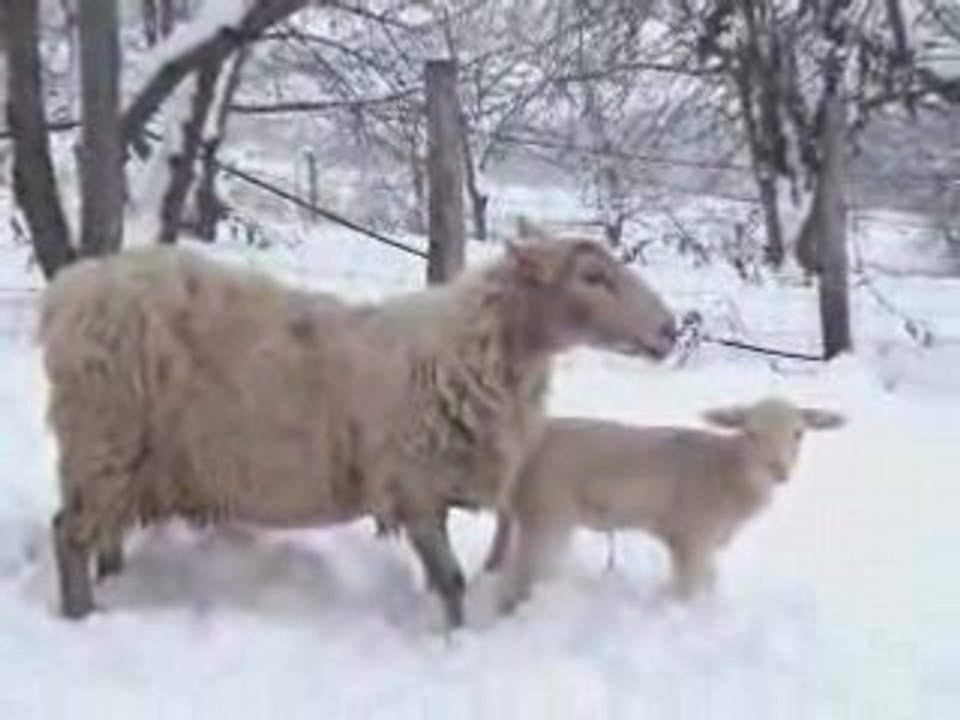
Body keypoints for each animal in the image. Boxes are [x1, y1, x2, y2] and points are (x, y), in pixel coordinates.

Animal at [39, 220, 678, 625]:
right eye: (592, 277)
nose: (670, 329)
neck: (471, 351)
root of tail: (70, 290)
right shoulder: (413, 484)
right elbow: (450, 580)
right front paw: (456, 640)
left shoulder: (430, 489)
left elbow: (444, 577)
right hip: (103, 437)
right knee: (68, 534)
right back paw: (82, 615)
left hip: (126, 456)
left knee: (100, 532)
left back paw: (115, 584)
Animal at [485, 397, 845, 613]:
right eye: (750, 433)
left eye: (799, 433)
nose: (778, 470)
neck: (724, 470)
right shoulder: (691, 535)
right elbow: (688, 587)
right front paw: (683, 613)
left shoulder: (705, 540)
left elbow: (709, 580)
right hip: (548, 512)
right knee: (521, 574)